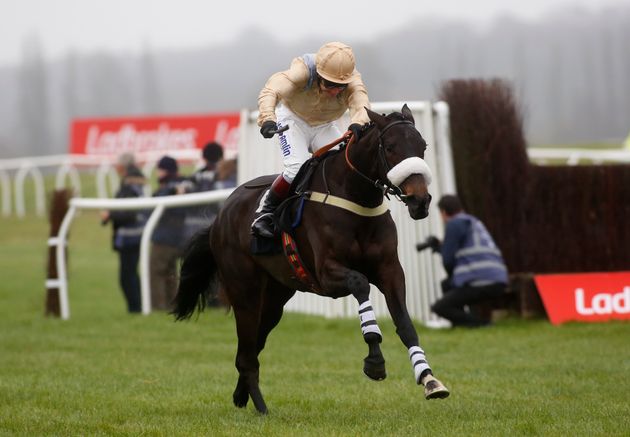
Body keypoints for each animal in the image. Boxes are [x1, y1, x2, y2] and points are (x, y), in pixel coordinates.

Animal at [173, 104, 450, 414]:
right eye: (390, 147)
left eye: (423, 146)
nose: (420, 201)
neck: (355, 198)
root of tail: (221, 215)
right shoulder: (327, 274)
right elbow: (361, 284)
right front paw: (375, 360)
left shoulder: (390, 270)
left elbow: (405, 324)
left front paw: (429, 379)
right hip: (245, 291)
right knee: (246, 352)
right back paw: (261, 407)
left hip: (275, 298)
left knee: (252, 346)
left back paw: (241, 396)